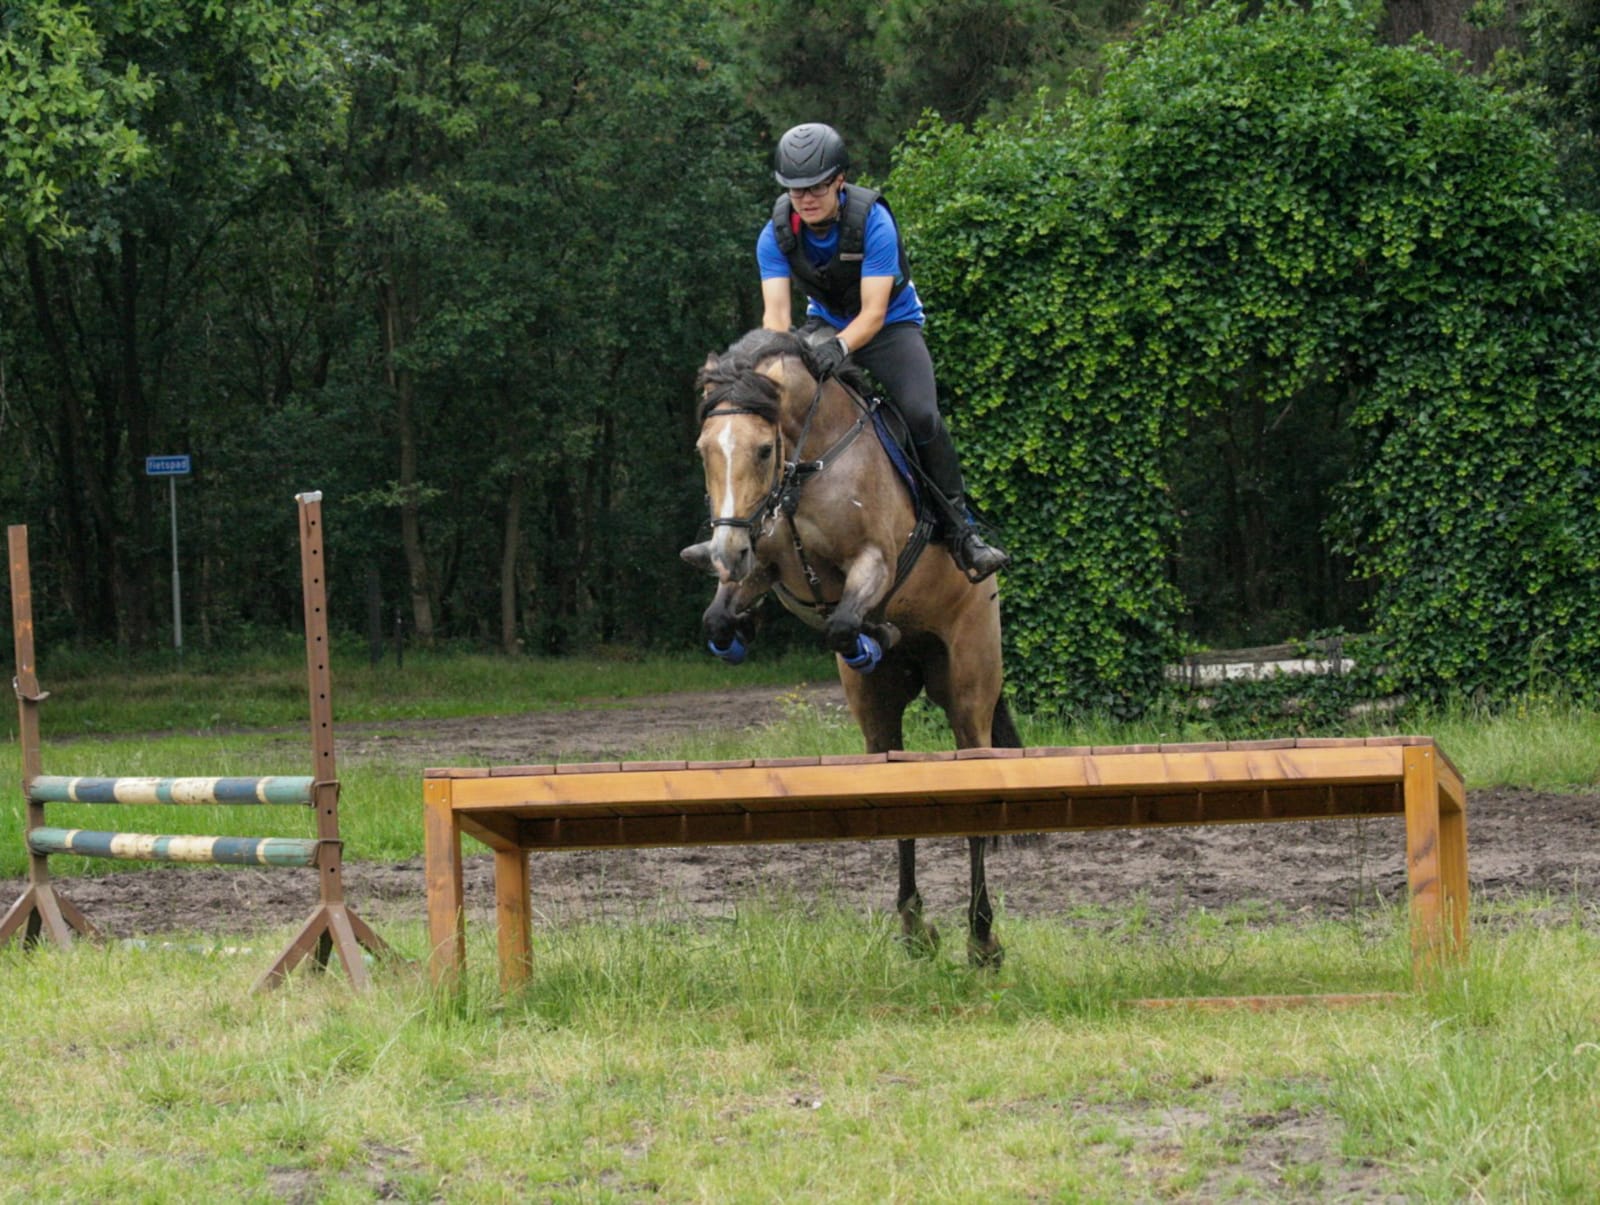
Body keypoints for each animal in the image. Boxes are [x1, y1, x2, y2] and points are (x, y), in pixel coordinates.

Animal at [687, 327, 1019, 965]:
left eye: (762, 450)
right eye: (704, 451)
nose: (724, 553)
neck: (806, 462)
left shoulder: (875, 562)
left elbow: (843, 621)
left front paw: (873, 632)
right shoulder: (765, 565)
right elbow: (719, 616)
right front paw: (737, 627)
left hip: (969, 690)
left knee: (975, 789)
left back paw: (982, 937)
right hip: (877, 712)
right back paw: (915, 927)